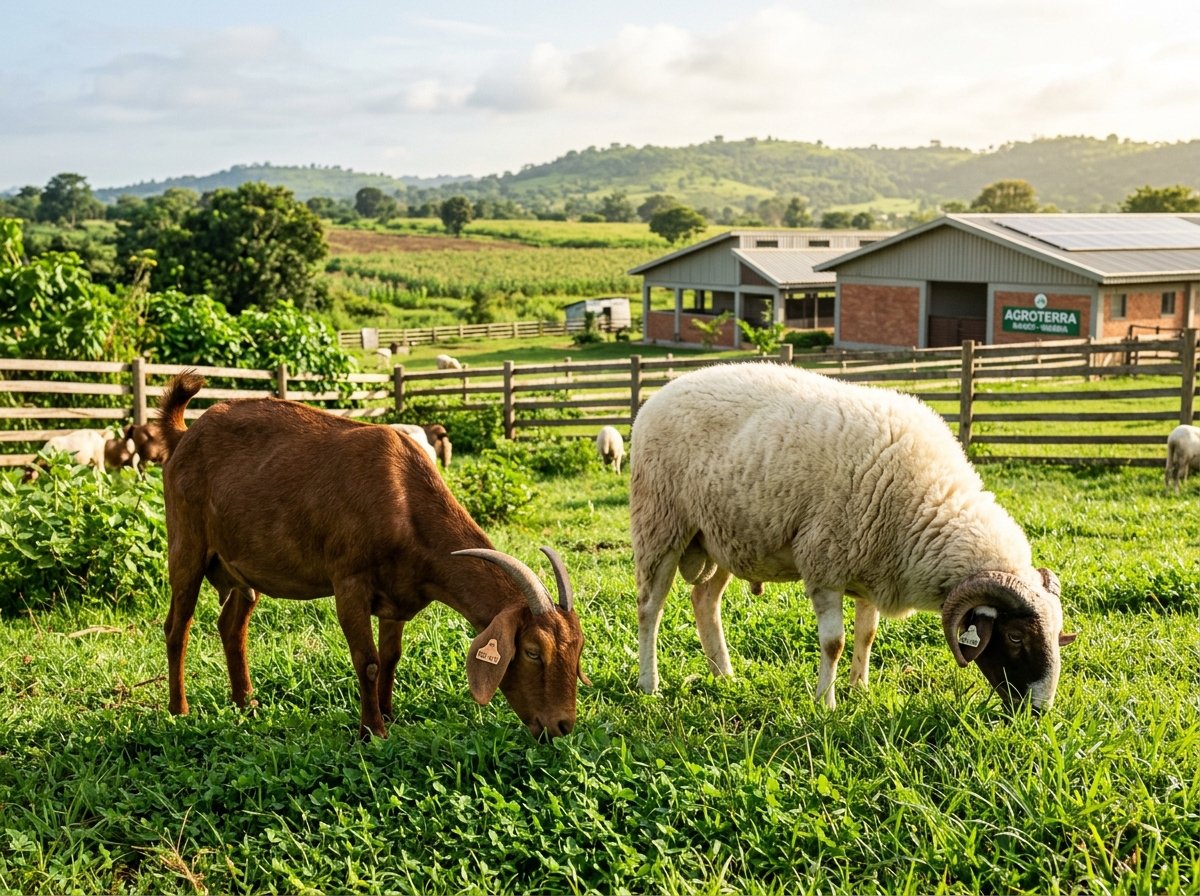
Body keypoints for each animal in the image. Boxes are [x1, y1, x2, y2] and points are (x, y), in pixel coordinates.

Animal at [157, 372, 587, 740]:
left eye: (578, 649)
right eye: (532, 652)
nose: (562, 725)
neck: (403, 497)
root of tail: (183, 436)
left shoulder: (398, 597)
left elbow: (391, 657)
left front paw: (388, 714)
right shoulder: (349, 583)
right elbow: (367, 660)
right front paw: (372, 731)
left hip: (239, 567)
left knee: (232, 624)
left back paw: (246, 703)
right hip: (186, 545)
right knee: (178, 624)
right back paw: (179, 710)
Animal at [630, 362, 1075, 711]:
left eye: (1057, 635)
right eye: (1015, 636)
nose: (1039, 711)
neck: (927, 507)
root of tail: (659, 396)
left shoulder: (872, 565)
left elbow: (867, 633)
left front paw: (859, 688)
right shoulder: (824, 564)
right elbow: (834, 642)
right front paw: (825, 704)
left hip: (722, 537)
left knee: (705, 601)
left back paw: (725, 676)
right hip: (660, 524)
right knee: (650, 608)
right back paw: (649, 685)